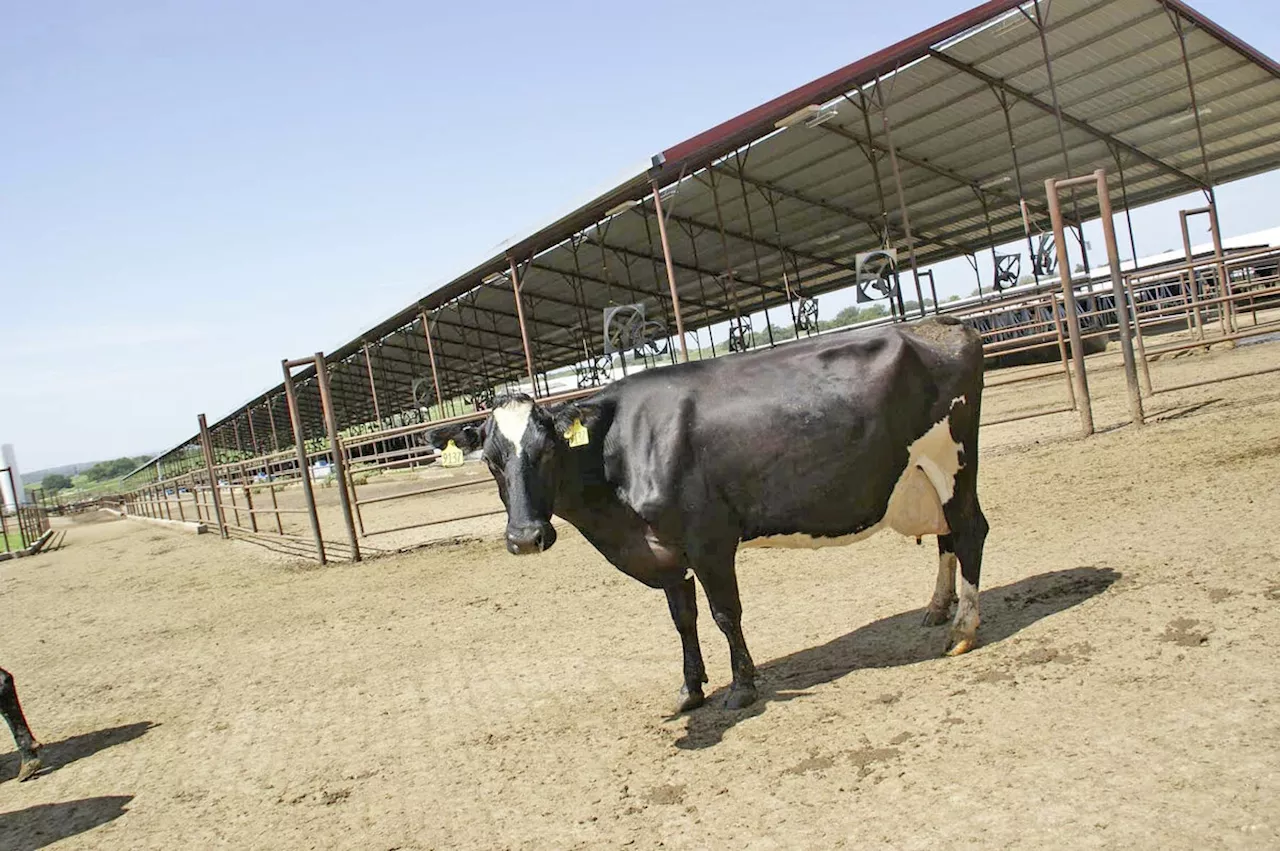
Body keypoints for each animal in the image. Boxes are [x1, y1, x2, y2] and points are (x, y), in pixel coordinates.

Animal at [432, 314, 988, 706]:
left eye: (547, 449)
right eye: (491, 459)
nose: (526, 538)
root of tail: (940, 323)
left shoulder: (709, 537)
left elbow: (725, 612)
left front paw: (742, 687)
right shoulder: (661, 547)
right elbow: (683, 618)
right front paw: (690, 689)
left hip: (954, 461)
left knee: (969, 531)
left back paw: (961, 631)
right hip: (922, 474)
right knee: (946, 536)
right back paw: (936, 610)